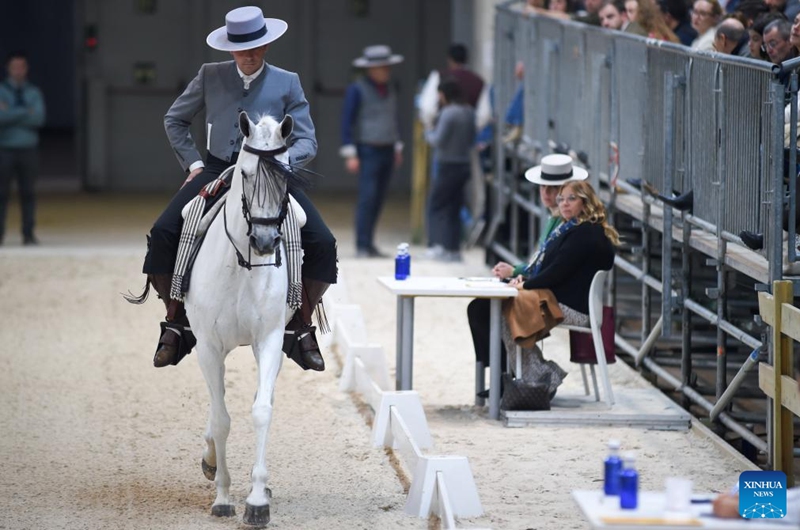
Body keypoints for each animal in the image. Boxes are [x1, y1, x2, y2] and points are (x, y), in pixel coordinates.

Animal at [186, 111, 302, 524]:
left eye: (287, 174)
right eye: (248, 173)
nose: (265, 242)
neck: (241, 264)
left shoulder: (268, 340)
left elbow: (261, 411)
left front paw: (256, 500)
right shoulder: (208, 346)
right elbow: (222, 419)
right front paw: (222, 496)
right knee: (215, 406)